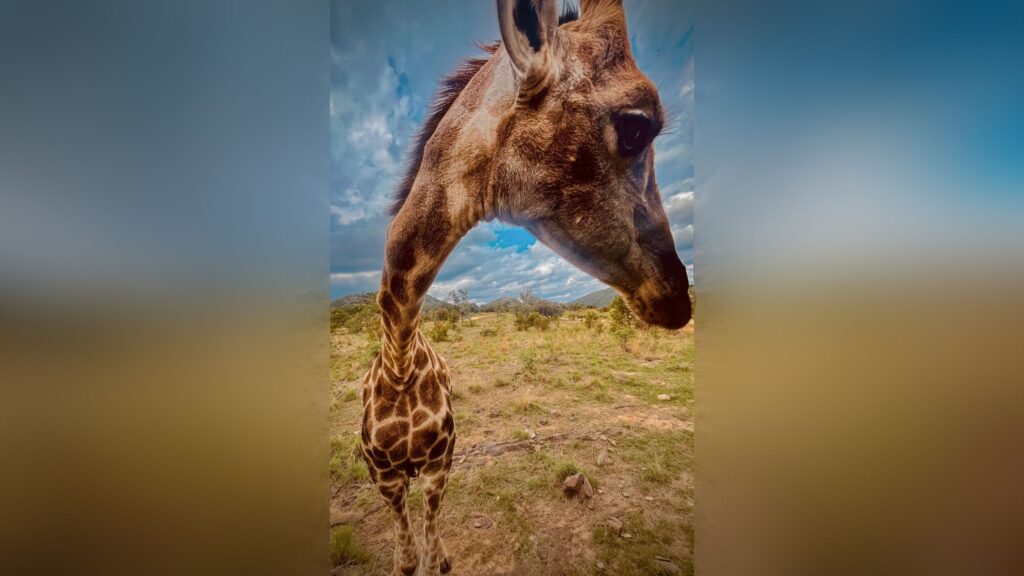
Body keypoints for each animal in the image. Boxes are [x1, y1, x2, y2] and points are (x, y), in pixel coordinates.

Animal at [359, 1, 691, 574]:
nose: (680, 297)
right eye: (636, 127)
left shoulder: (440, 464)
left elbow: (434, 545)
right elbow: (405, 556)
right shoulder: (384, 477)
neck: (399, 367)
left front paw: (439, 558)